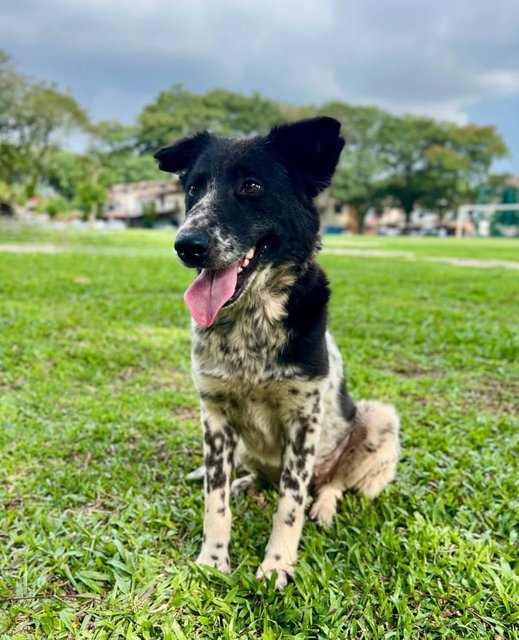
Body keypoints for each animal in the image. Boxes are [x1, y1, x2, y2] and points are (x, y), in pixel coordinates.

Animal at [154, 117, 402, 588]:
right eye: (193, 188)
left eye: (251, 186)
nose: (186, 245)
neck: (251, 323)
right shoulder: (214, 415)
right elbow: (215, 501)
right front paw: (213, 560)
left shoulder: (304, 421)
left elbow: (289, 505)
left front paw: (276, 564)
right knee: (253, 475)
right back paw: (244, 483)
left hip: (378, 419)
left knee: (329, 484)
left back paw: (322, 506)